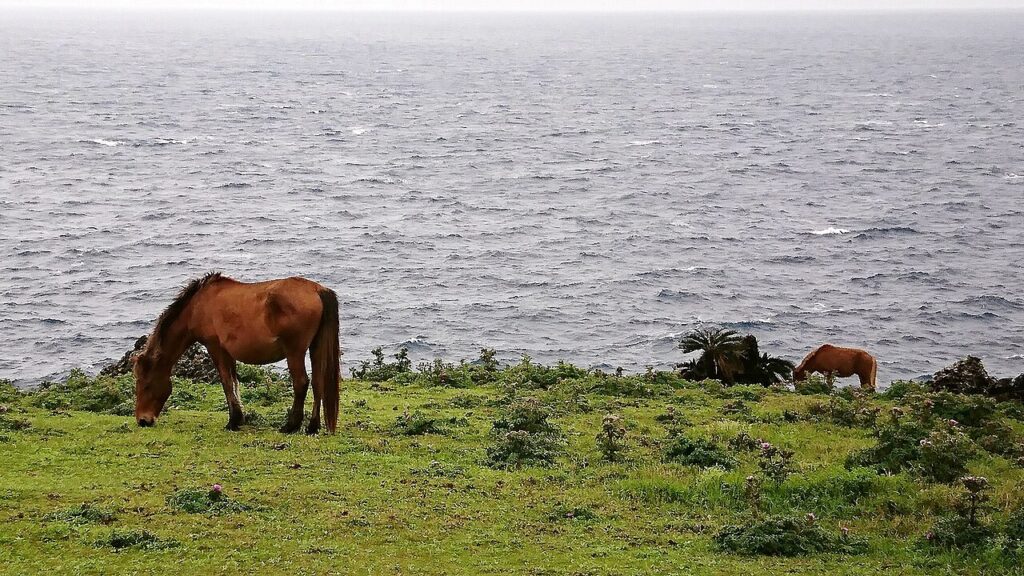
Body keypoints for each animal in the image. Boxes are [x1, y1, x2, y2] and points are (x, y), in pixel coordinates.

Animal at [132, 272, 340, 434]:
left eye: (146, 385)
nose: (143, 420)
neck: (198, 306)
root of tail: (317, 290)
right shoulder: (228, 352)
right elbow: (235, 382)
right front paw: (239, 419)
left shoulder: (215, 347)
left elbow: (226, 382)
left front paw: (233, 421)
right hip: (315, 347)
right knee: (318, 383)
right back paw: (312, 427)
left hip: (294, 352)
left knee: (301, 383)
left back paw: (291, 426)